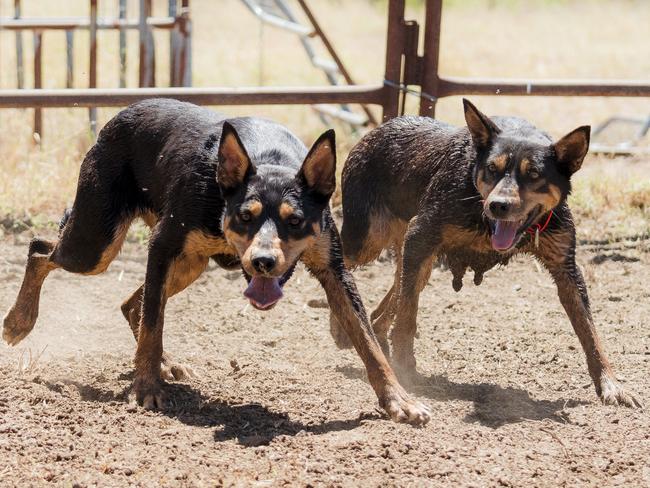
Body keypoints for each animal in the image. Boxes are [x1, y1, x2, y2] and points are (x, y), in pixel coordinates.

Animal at [5, 98, 432, 424]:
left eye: (294, 220)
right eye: (246, 215)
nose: (263, 261)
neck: (268, 158)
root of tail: (120, 115)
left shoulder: (335, 270)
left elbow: (369, 342)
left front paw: (398, 400)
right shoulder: (162, 245)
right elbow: (154, 324)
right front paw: (146, 388)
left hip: (188, 265)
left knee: (132, 304)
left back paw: (165, 363)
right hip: (97, 244)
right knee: (41, 249)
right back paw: (18, 321)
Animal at [336, 99, 640, 408]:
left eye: (534, 174)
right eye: (492, 169)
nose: (498, 205)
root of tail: (374, 132)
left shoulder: (565, 265)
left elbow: (590, 333)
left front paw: (611, 384)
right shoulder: (421, 234)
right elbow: (407, 320)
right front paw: (406, 370)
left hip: (418, 259)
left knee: (390, 299)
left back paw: (371, 330)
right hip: (370, 237)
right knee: (343, 262)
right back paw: (341, 326)